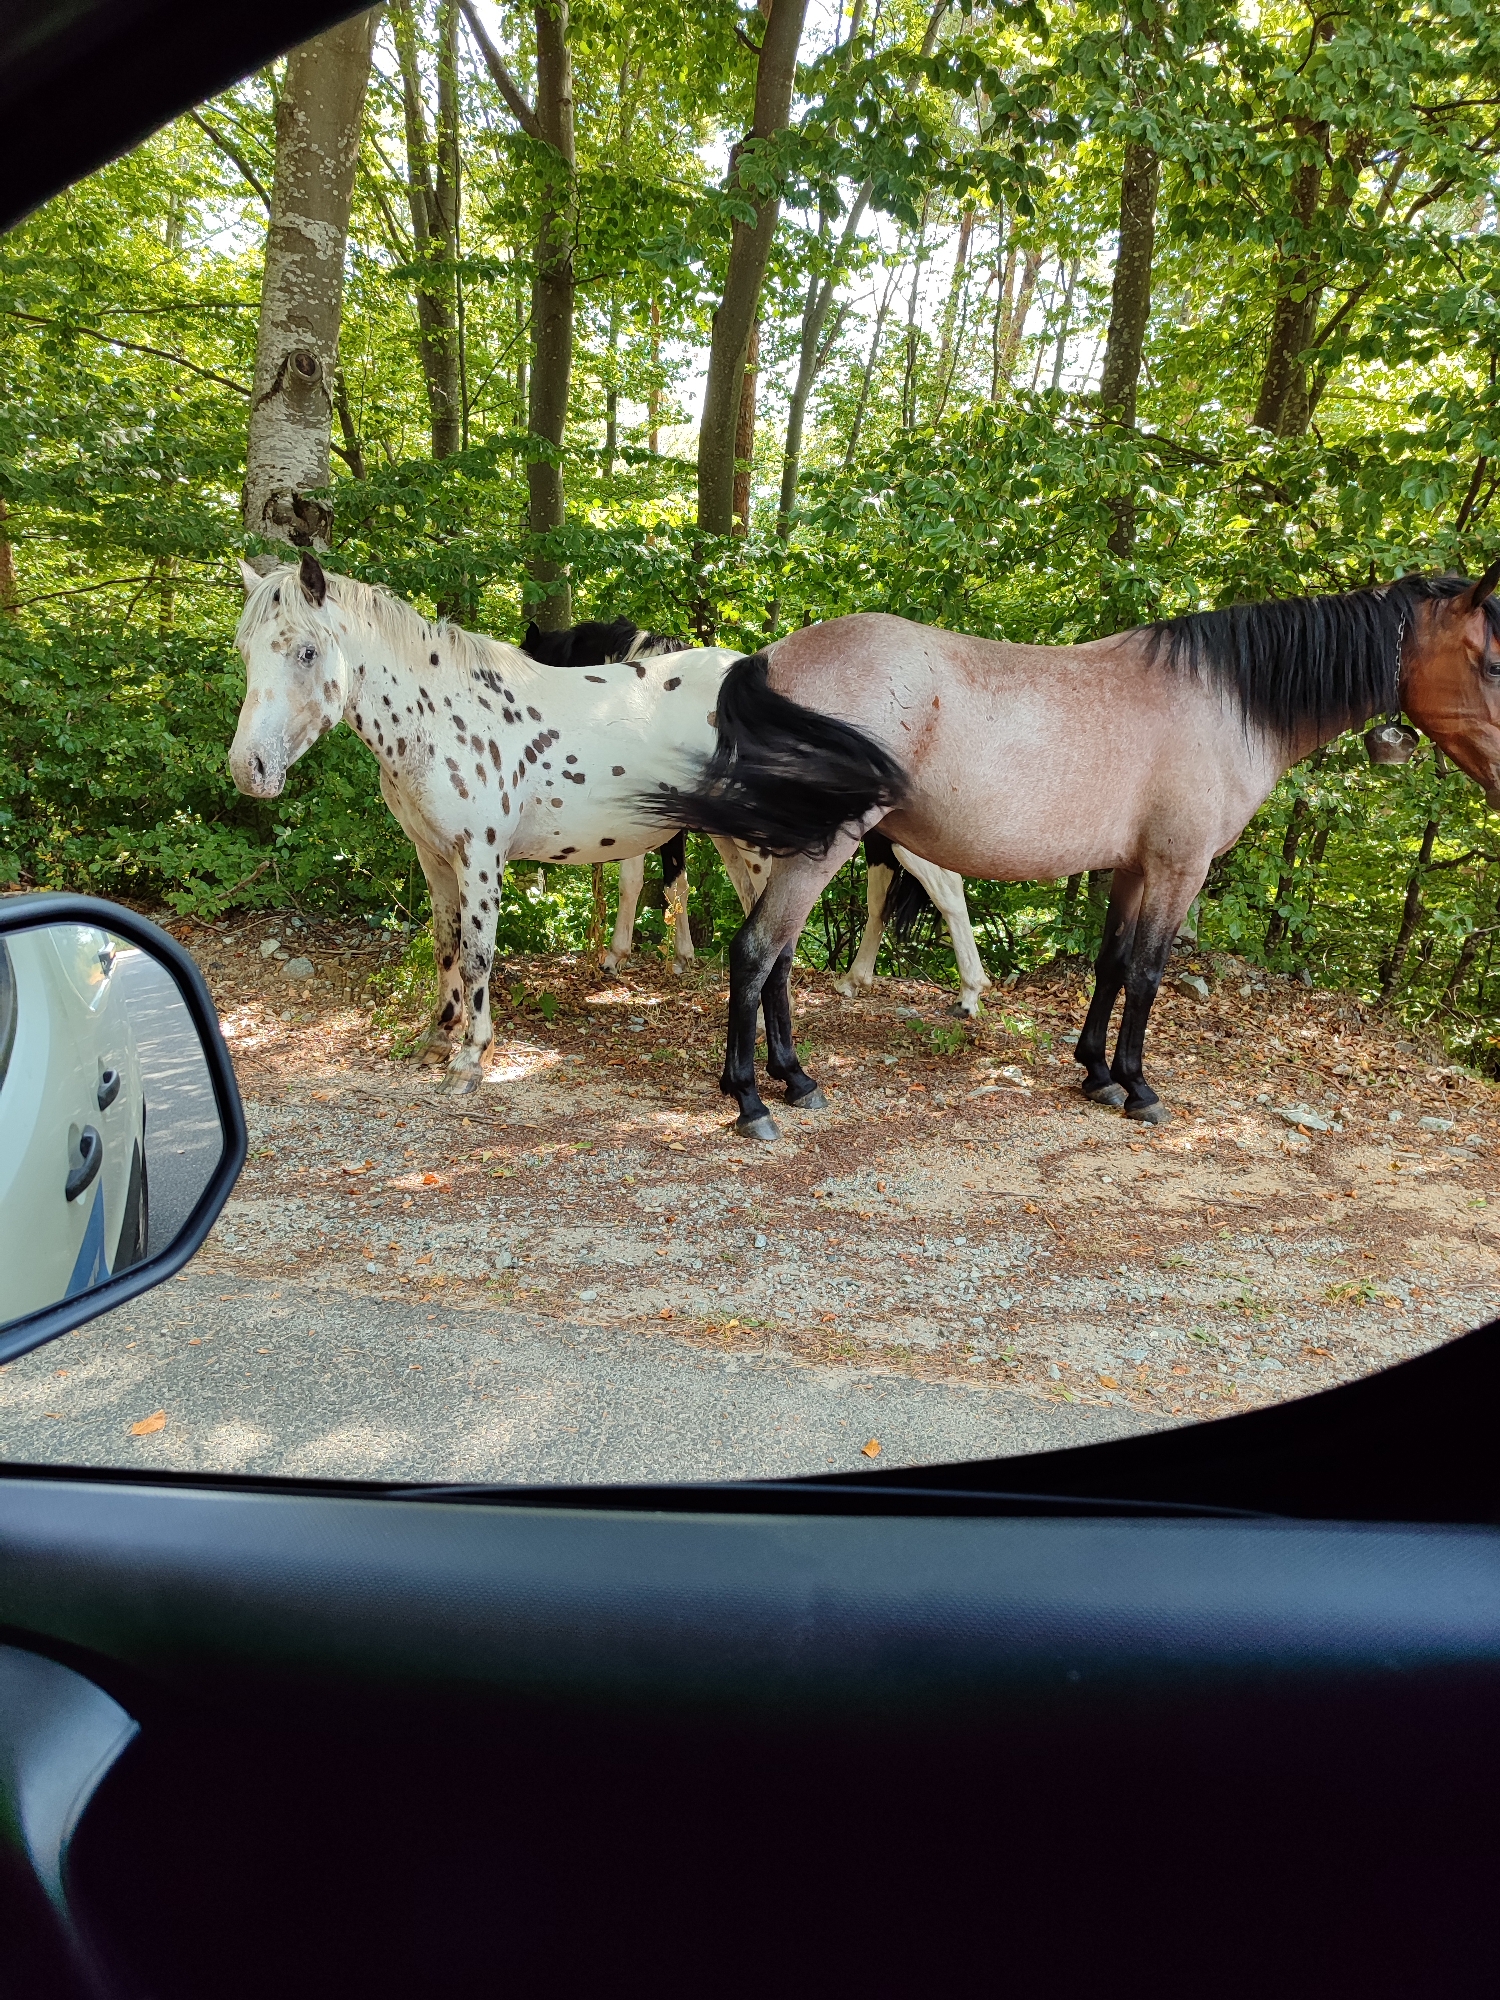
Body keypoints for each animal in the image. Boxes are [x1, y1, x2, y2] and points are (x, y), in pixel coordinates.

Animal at [227, 553, 755, 1090]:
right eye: (244, 650)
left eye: (307, 652)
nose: (250, 769)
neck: (438, 717)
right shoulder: (433, 858)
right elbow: (446, 946)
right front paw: (437, 1038)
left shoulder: (479, 859)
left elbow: (477, 956)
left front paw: (471, 1058)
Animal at [531, 617, 994, 1014]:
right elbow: (716, 888)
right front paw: (685, 957)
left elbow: (642, 882)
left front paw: (619, 955)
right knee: (882, 894)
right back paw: (857, 979)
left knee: (945, 890)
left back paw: (969, 993)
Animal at [653, 565, 1500, 1141]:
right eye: (1492, 662)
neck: (1224, 700)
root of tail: (766, 659)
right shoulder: (1179, 868)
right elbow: (1150, 974)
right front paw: (1139, 1087)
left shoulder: (1131, 867)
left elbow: (1112, 963)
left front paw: (1095, 1073)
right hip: (821, 845)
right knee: (756, 951)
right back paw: (752, 1100)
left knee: (779, 957)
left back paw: (795, 1079)